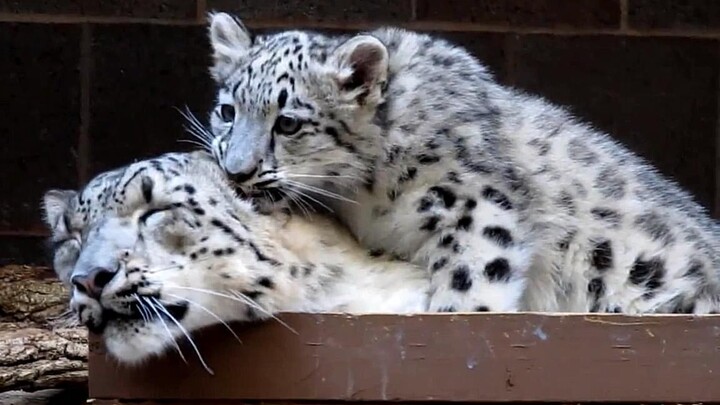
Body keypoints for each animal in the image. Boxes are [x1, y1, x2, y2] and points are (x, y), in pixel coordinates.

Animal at [204, 11, 720, 314]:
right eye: (228, 111)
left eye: (288, 123)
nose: (237, 171)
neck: (363, 197)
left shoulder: (474, 207)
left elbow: (471, 284)